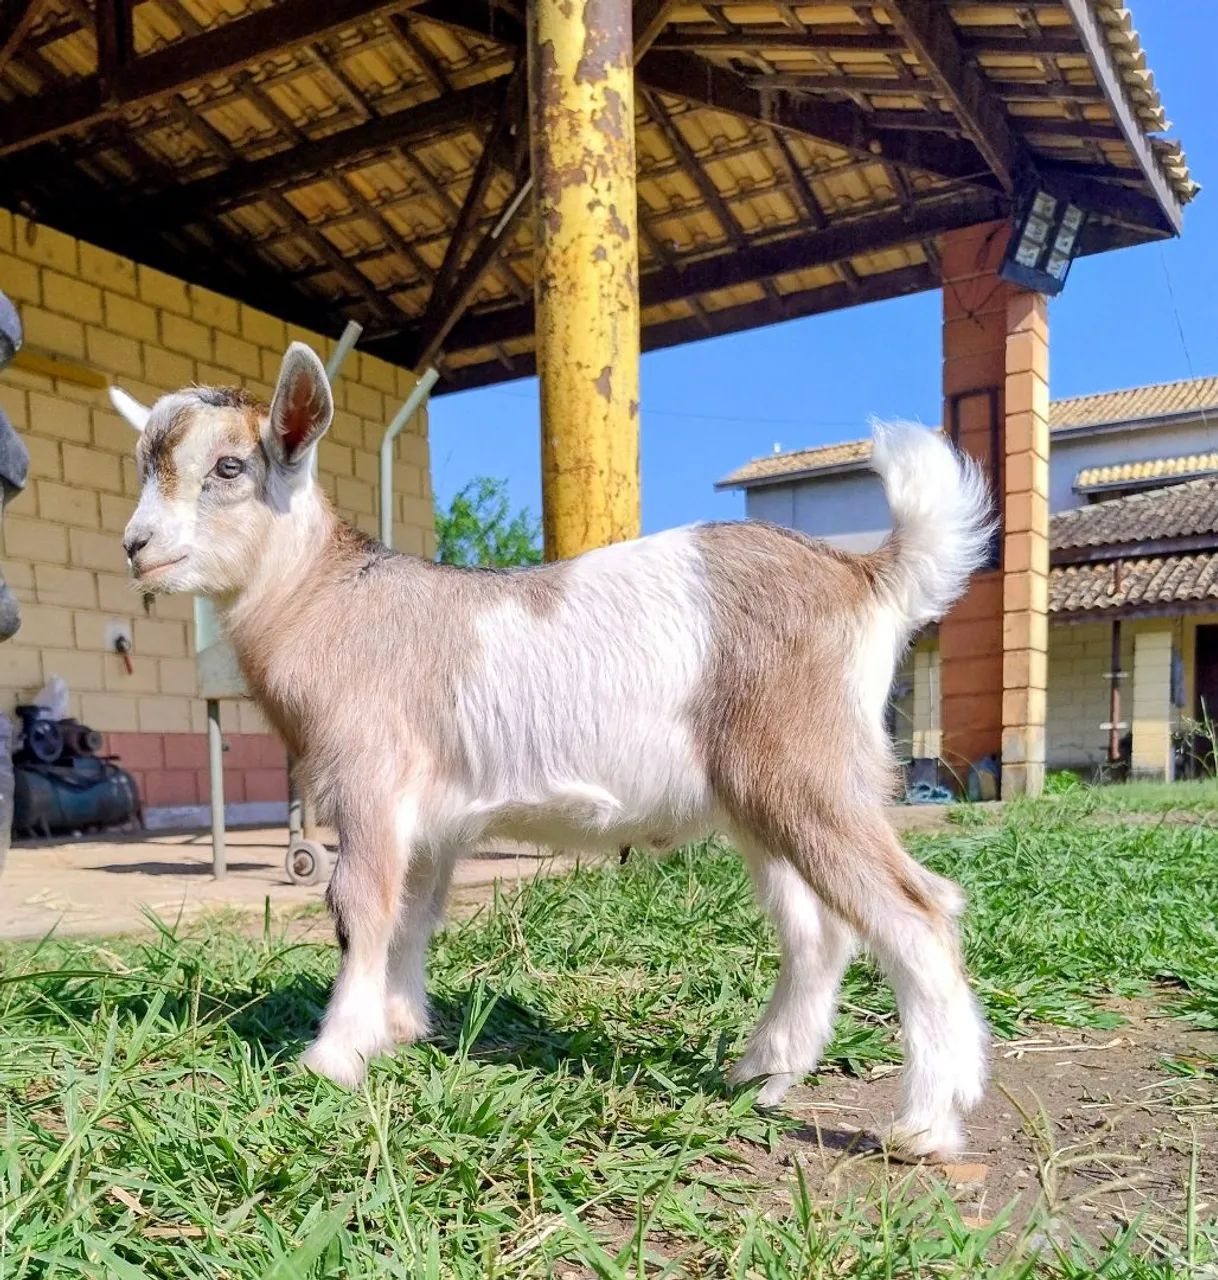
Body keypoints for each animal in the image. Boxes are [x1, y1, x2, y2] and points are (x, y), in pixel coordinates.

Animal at [113, 342, 992, 1157]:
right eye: (146, 466)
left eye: (228, 466)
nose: (135, 546)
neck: (323, 597)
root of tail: (867, 577)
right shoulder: (431, 819)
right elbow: (414, 913)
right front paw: (399, 1028)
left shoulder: (371, 779)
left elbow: (359, 905)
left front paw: (333, 1057)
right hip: (762, 798)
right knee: (819, 932)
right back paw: (762, 1075)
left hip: (810, 772)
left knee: (917, 914)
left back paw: (924, 1122)